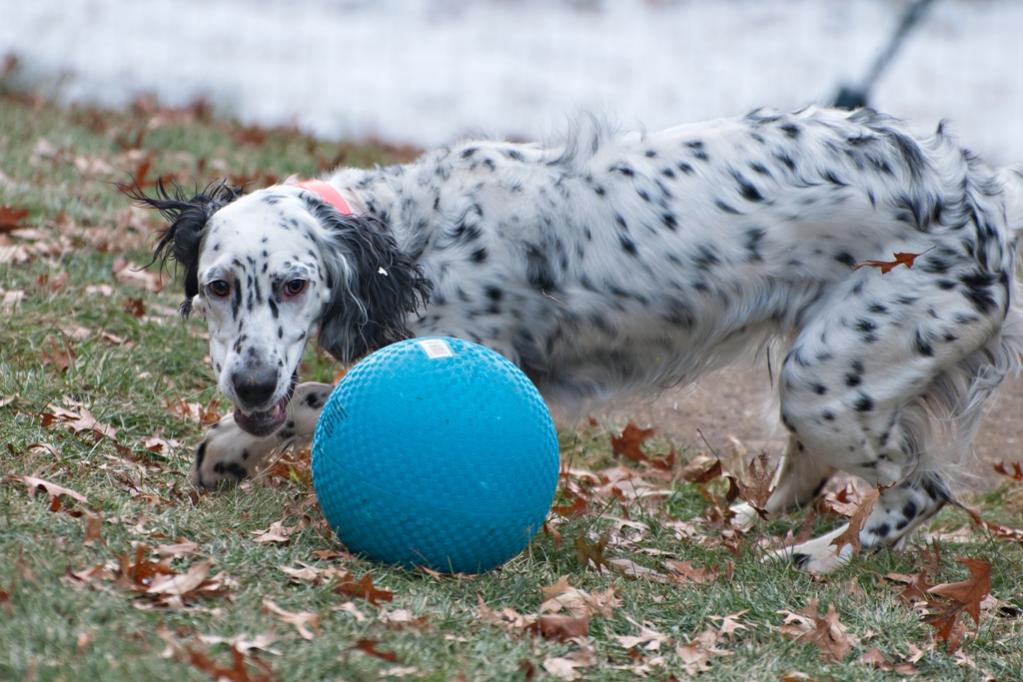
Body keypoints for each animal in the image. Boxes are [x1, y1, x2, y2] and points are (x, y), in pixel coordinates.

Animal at [134, 106, 1023, 572]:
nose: (249, 384)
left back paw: (821, 558)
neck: (408, 239)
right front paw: (233, 447)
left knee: (918, 486)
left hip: (826, 380)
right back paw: (755, 524)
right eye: (219, 286)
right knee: (809, 474)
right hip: (823, 376)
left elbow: (317, 399)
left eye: (293, 284)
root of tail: (980, 198)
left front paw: (230, 449)